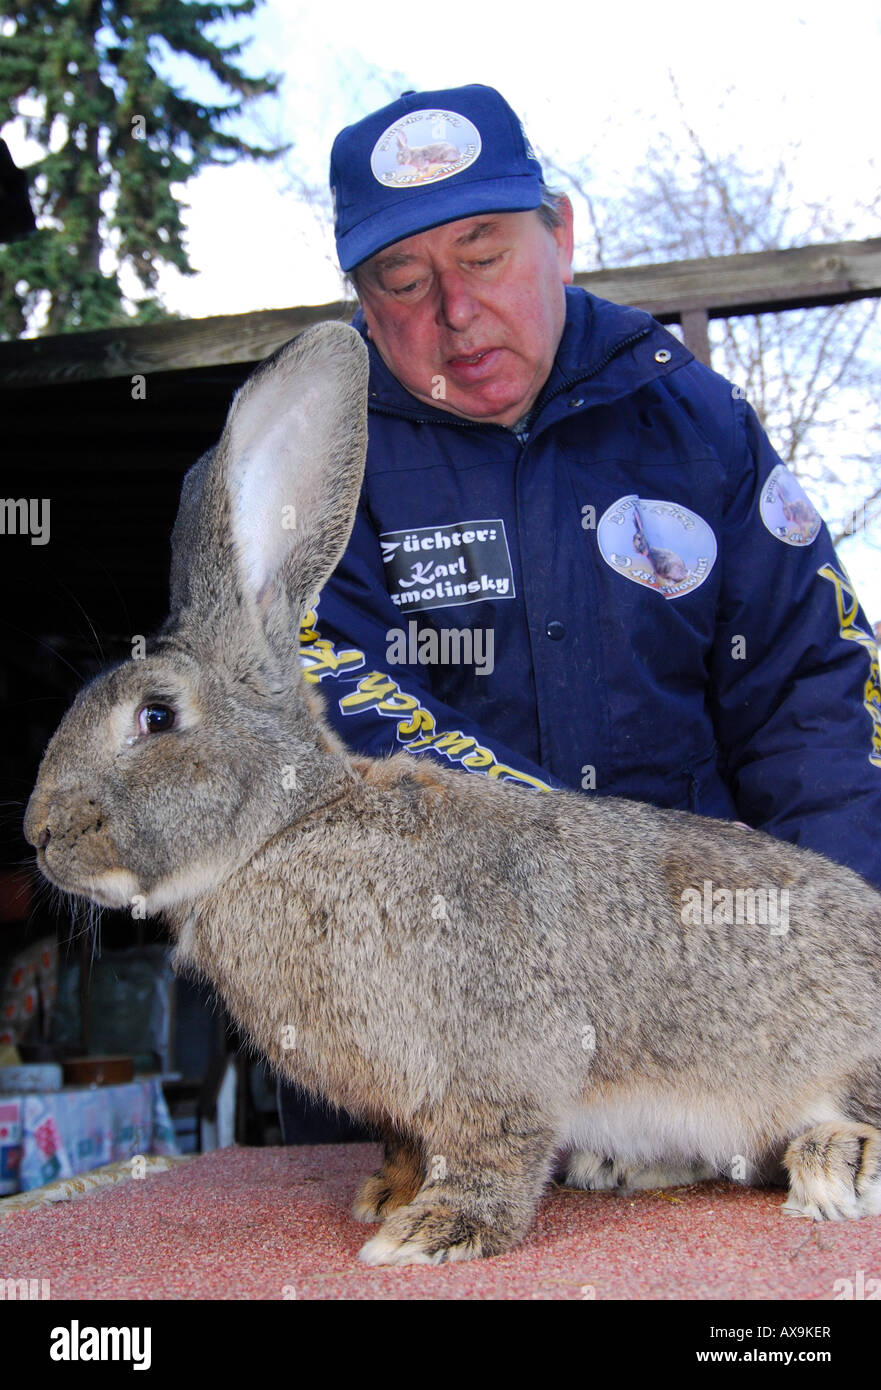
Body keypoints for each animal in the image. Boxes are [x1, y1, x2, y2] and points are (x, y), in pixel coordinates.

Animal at [24, 322, 881, 1267]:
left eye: (156, 716)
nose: (38, 832)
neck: (286, 829)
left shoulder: (501, 1060)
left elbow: (493, 1146)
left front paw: (433, 1230)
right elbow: (409, 1143)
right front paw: (387, 1194)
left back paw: (837, 1164)